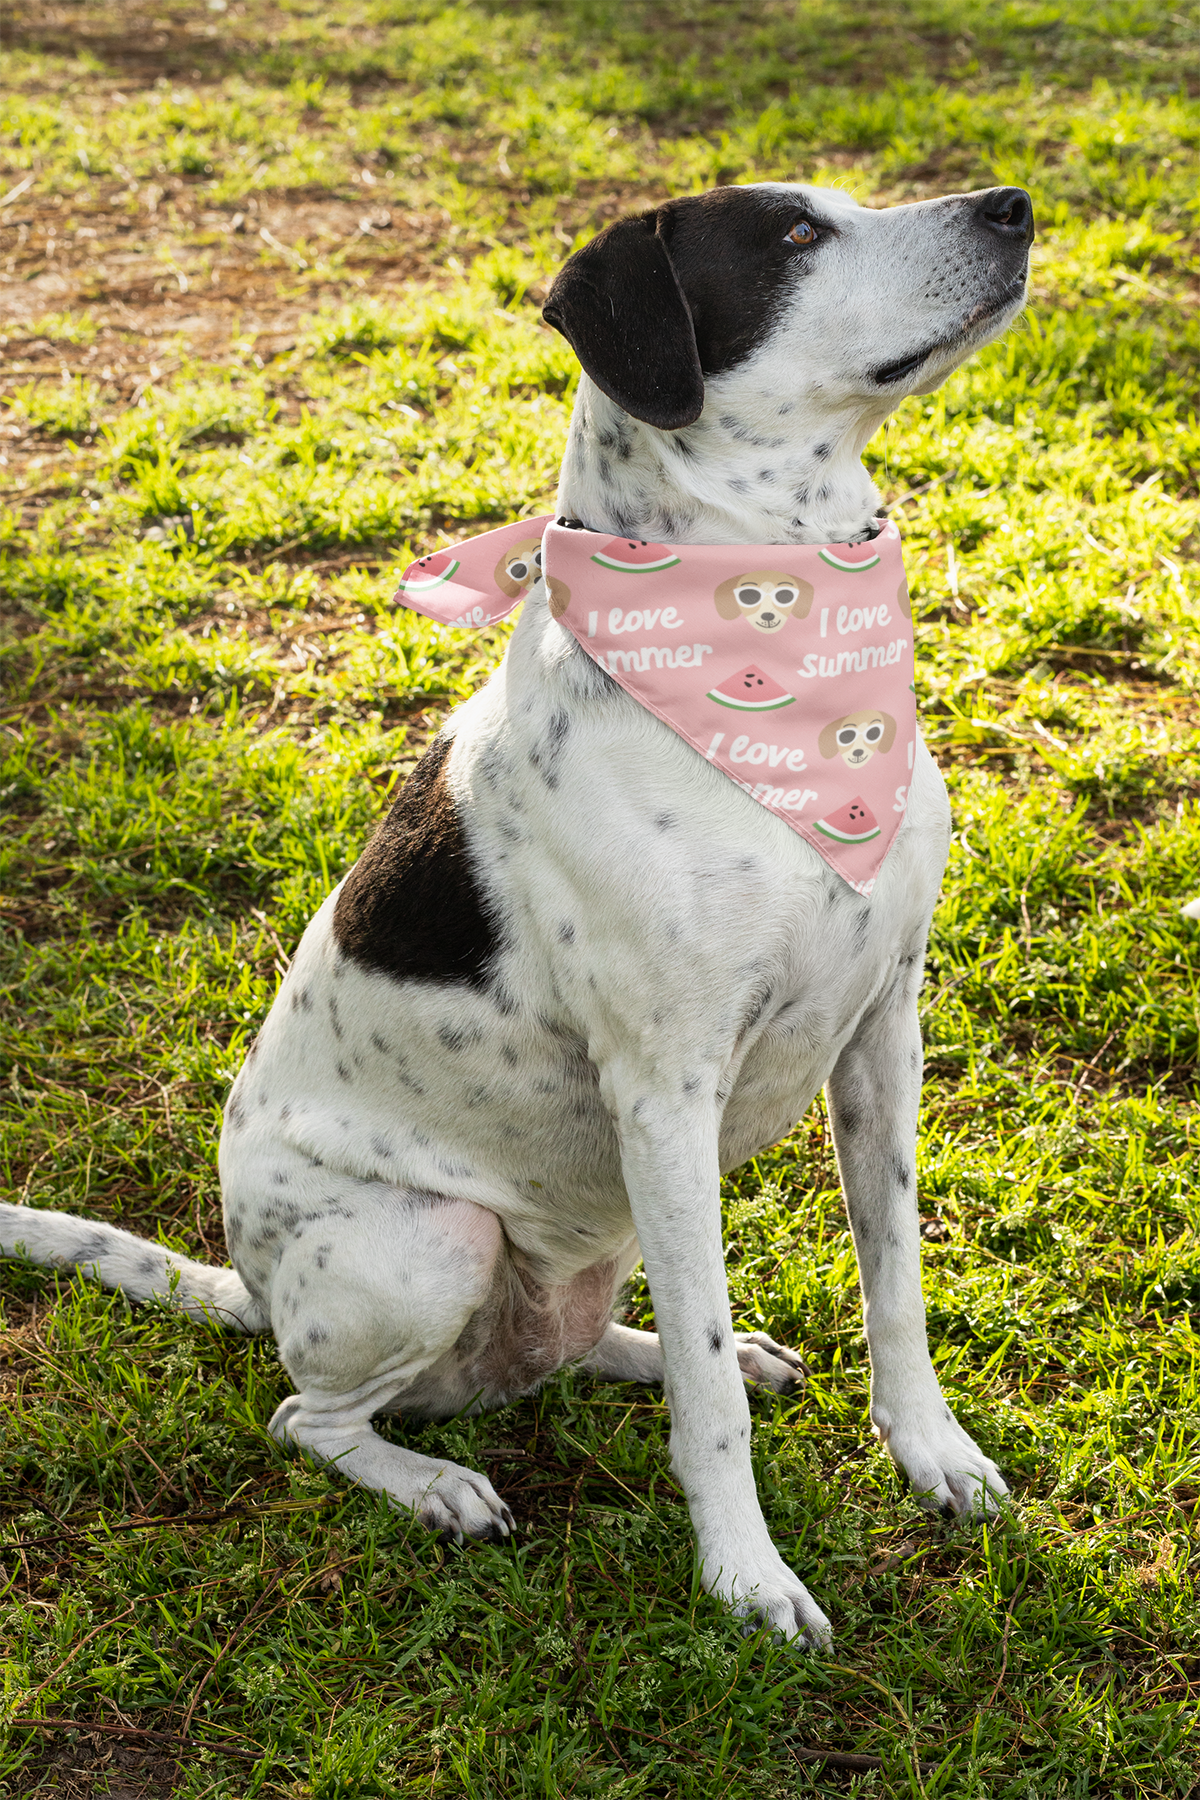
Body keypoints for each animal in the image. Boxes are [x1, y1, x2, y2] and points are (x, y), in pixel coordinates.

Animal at [0, 182, 1036, 1648]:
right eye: (791, 238)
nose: (1010, 205)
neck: (771, 626)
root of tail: (251, 1290)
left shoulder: (882, 1028)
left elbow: (895, 1288)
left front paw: (931, 1454)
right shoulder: (665, 1091)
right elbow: (708, 1415)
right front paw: (745, 1578)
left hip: (585, 1238)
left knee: (582, 1340)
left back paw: (666, 1353)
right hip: (429, 1243)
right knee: (310, 1418)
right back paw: (433, 1484)